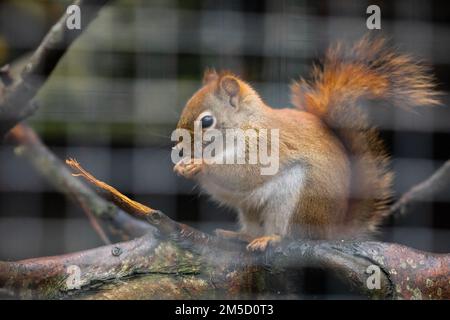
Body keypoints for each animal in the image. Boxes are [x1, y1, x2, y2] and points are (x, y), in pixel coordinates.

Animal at [171, 37, 440, 251]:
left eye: (207, 121)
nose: (181, 150)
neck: (244, 124)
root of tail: (332, 230)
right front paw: (181, 167)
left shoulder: (266, 145)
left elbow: (242, 173)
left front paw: (200, 165)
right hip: (250, 209)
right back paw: (241, 235)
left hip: (299, 200)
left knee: (291, 233)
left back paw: (271, 238)